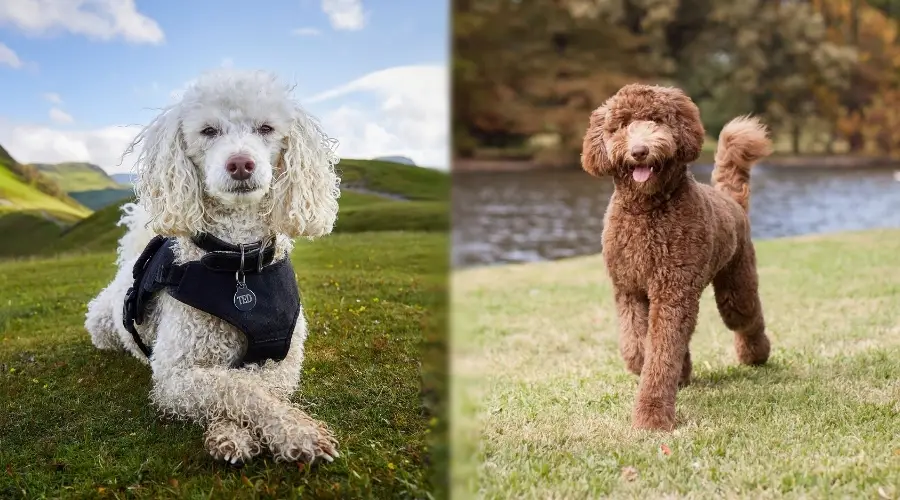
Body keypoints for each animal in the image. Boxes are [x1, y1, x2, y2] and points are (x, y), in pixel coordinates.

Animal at [83, 69, 342, 464]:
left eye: (266, 128)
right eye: (208, 131)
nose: (240, 163)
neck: (239, 263)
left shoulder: (283, 364)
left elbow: (250, 383)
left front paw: (268, 430)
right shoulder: (174, 374)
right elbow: (235, 385)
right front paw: (288, 433)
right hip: (101, 327)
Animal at [584, 84, 772, 432]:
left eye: (657, 120)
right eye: (621, 125)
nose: (639, 151)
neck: (646, 210)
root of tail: (730, 199)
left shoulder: (673, 291)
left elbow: (661, 355)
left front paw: (652, 416)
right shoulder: (629, 289)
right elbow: (637, 345)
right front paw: (654, 367)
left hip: (735, 285)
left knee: (747, 319)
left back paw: (756, 355)